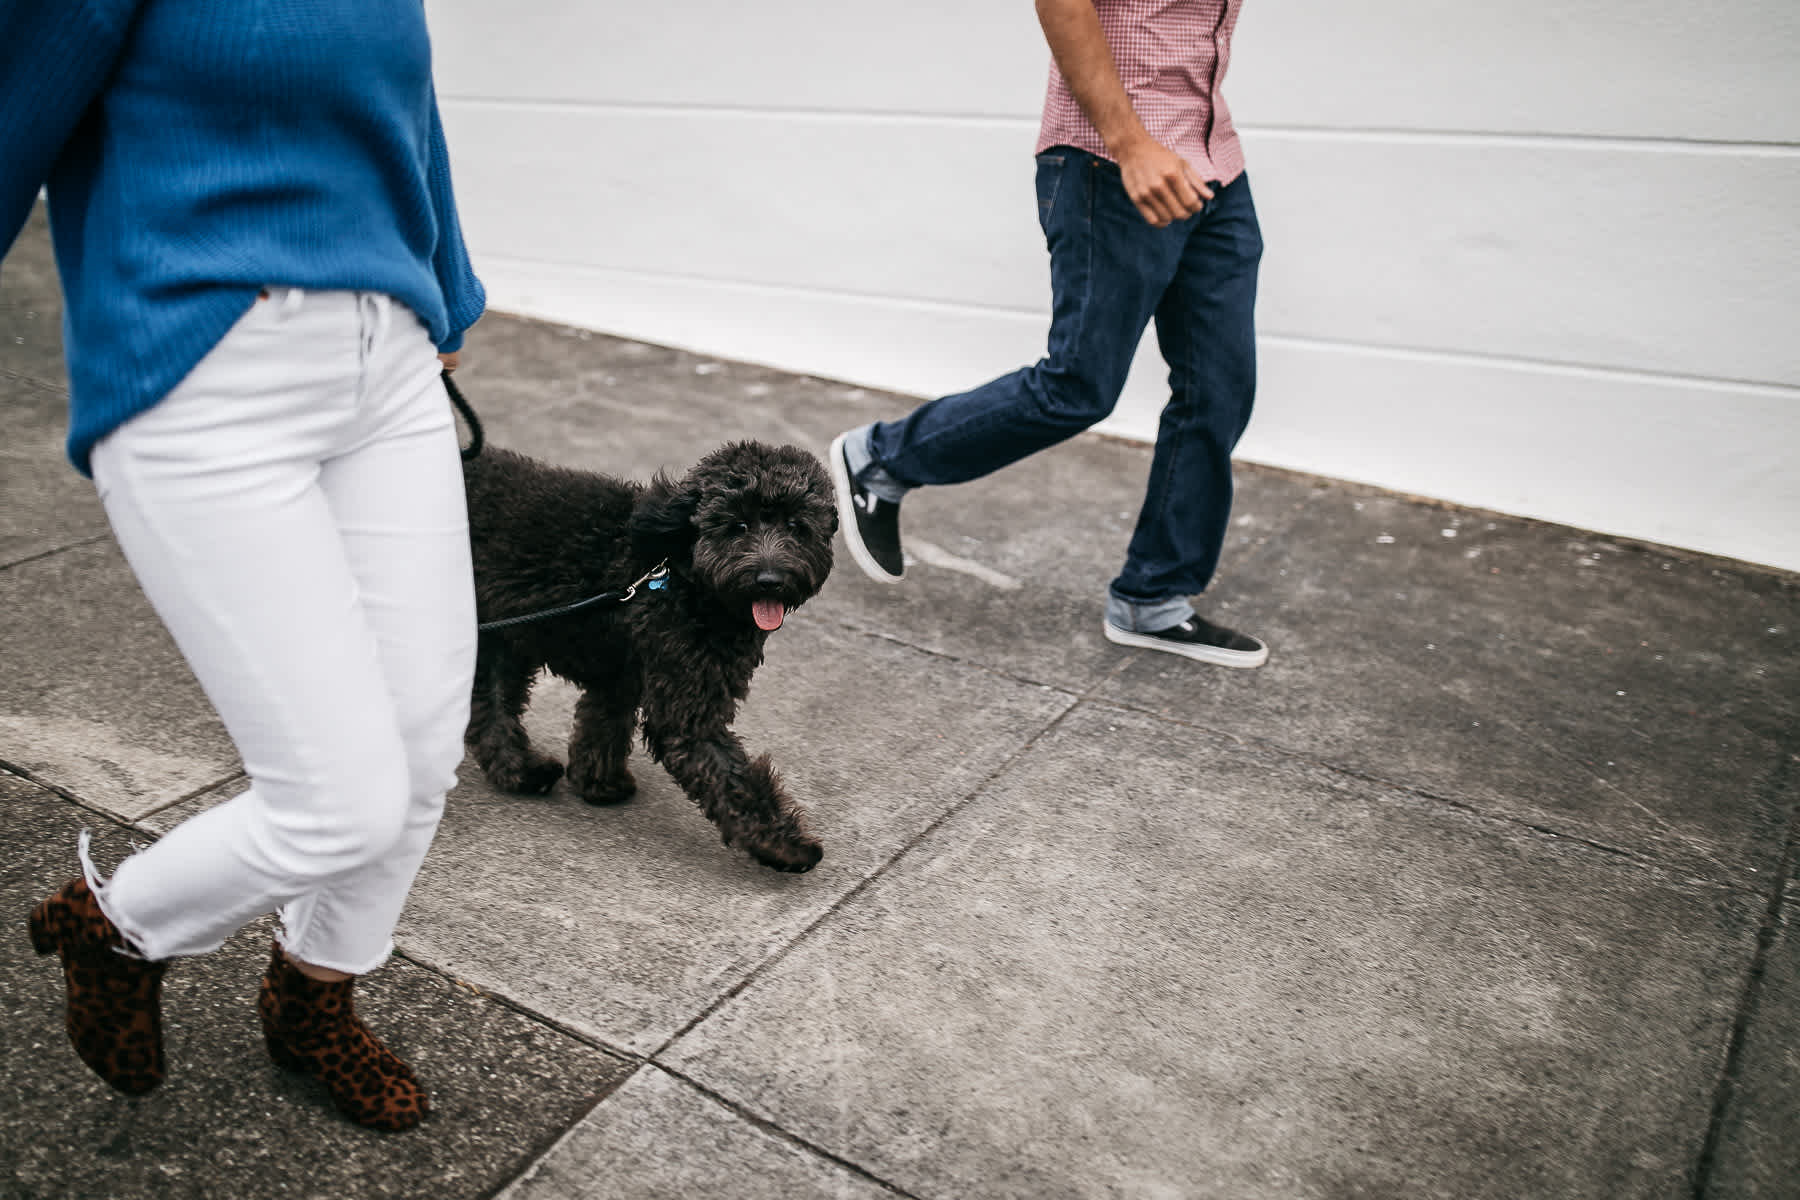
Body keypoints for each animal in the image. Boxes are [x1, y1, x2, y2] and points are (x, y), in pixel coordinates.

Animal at [460, 440, 831, 874]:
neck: (680, 575)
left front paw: (599, 782)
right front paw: (785, 845)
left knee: (492, 707)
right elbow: (732, 777)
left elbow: (603, 723)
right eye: (737, 526)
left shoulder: (623, 672)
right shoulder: (688, 710)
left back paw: (522, 771)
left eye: (797, 526)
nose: (769, 580)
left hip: (503, 637)